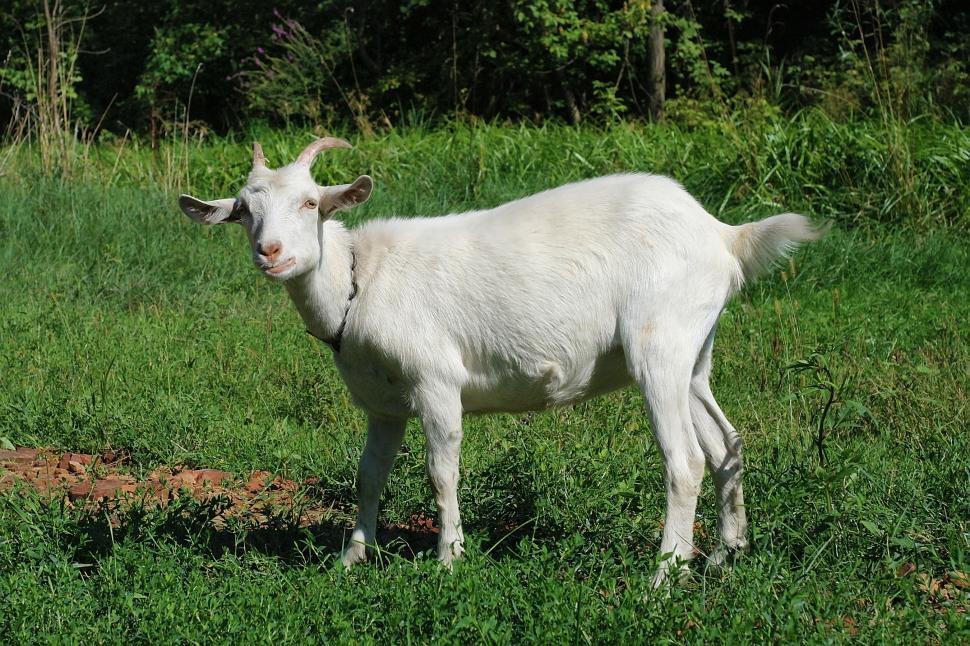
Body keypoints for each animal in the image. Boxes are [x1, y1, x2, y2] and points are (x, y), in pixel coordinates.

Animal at [178, 137, 826, 585]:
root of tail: (723, 235)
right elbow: (369, 476)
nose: (271, 252)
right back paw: (723, 555)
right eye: (243, 211)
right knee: (725, 443)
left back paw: (664, 575)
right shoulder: (382, 403)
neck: (359, 278)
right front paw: (351, 558)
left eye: (312, 202)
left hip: (659, 341)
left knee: (685, 460)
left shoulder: (435, 381)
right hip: (694, 349)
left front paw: (448, 561)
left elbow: (441, 473)